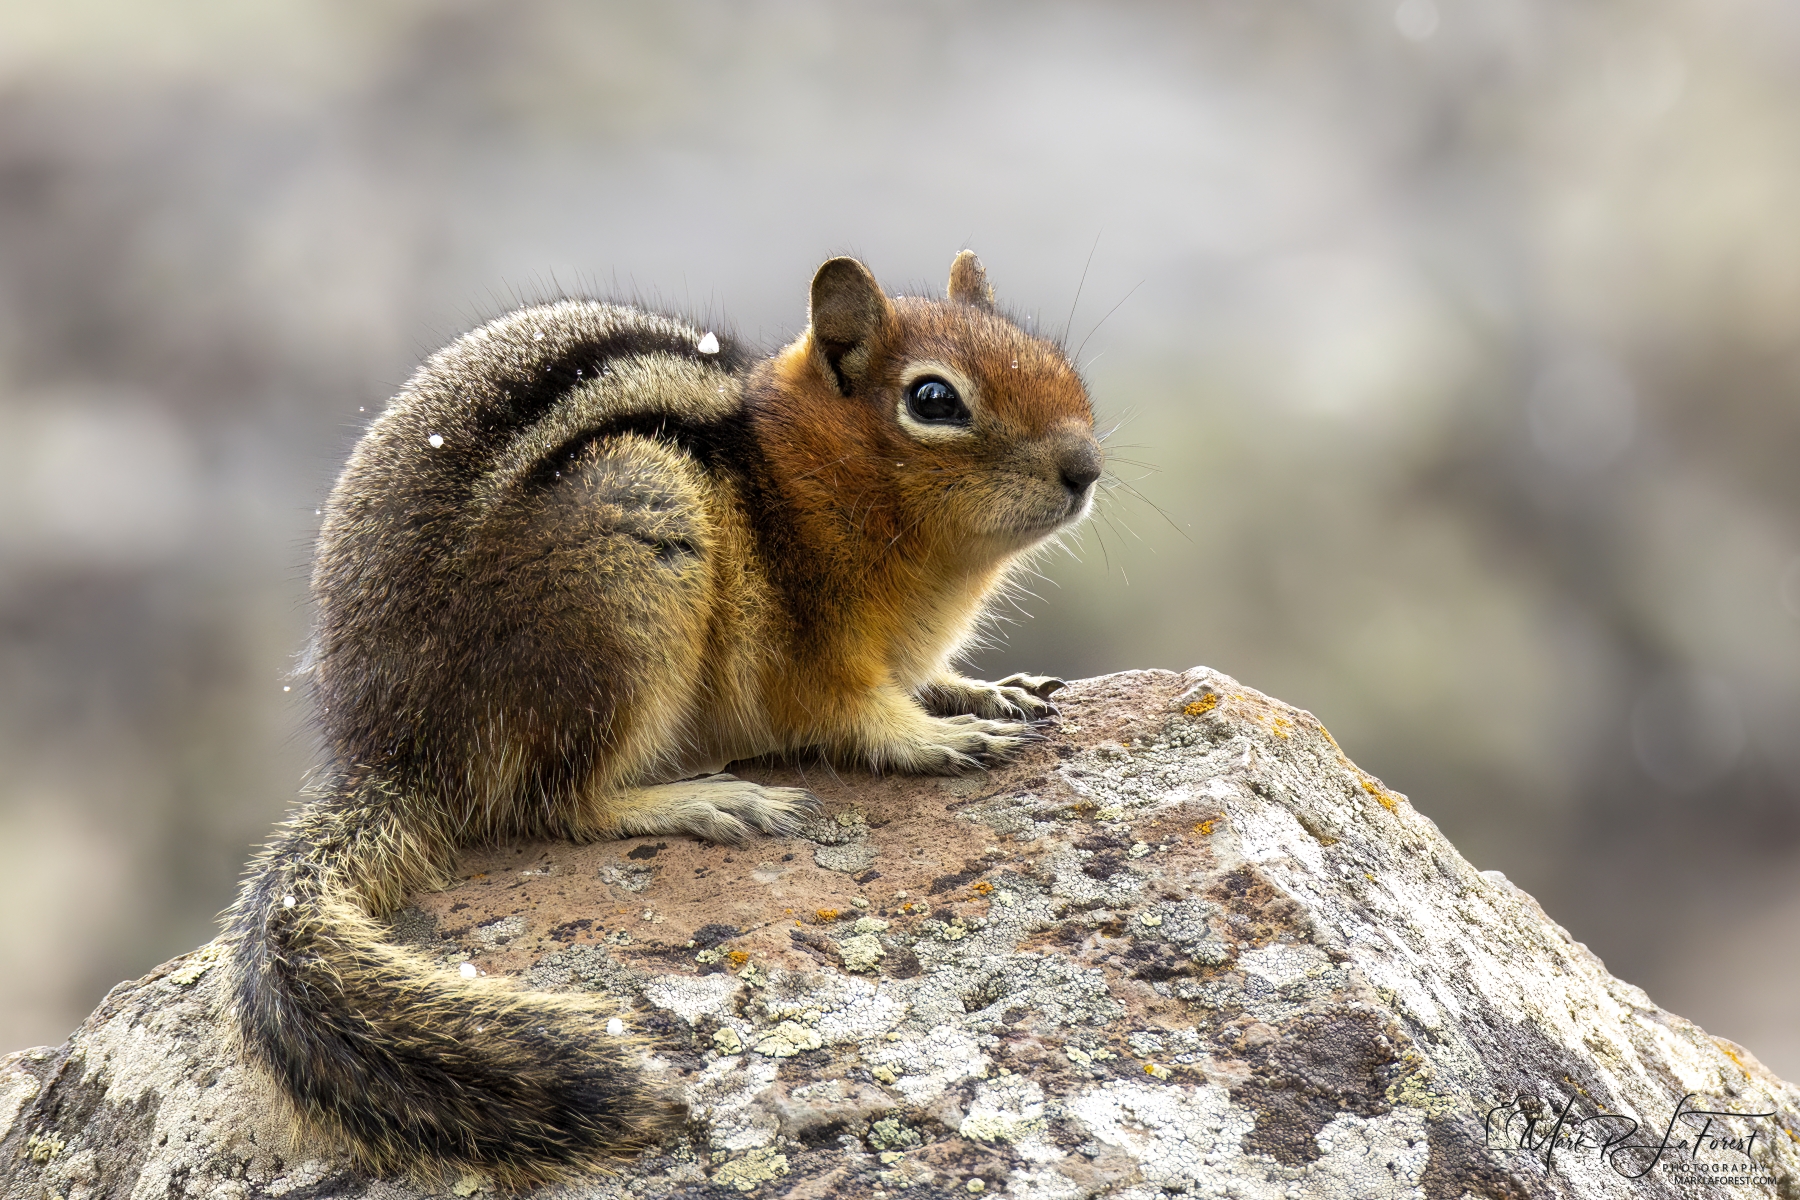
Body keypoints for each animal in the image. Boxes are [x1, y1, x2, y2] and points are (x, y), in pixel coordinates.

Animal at [224, 251, 1102, 1188]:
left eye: (1052, 359)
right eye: (934, 399)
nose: (1086, 468)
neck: (807, 474)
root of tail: (394, 758)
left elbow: (935, 681)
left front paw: (985, 690)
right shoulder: (817, 654)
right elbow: (862, 718)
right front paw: (938, 738)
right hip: (628, 559)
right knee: (559, 801)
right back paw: (704, 800)